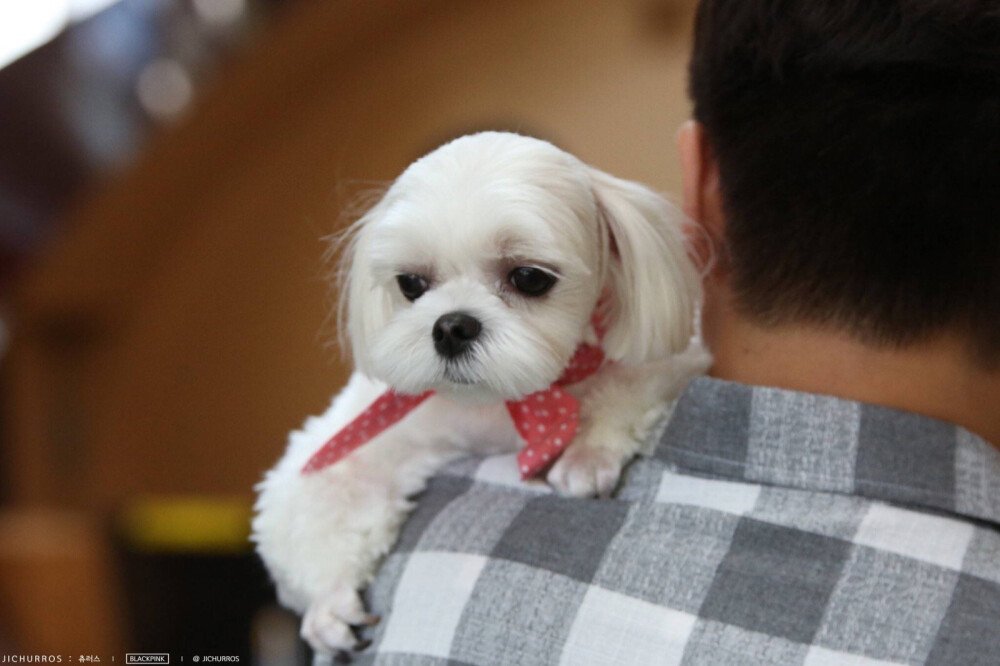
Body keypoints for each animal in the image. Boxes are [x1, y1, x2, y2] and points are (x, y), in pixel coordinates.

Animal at [254, 131, 708, 652]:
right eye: (410, 283)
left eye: (530, 277)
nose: (451, 326)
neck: (503, 406)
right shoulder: (381, 425)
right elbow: (322, 490)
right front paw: (328, 599)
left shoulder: (677, 357)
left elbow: (630, 382)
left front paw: (586, 453)